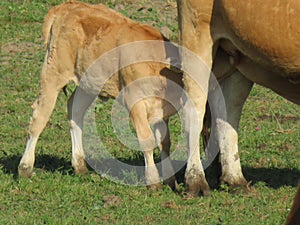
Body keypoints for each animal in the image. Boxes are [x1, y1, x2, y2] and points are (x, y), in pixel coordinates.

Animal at [177, 0, 298, 196]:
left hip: (235, 55)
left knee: (227, 110)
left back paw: (234, 179)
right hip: (196, 33)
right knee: (194, 107)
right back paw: (196, 181)